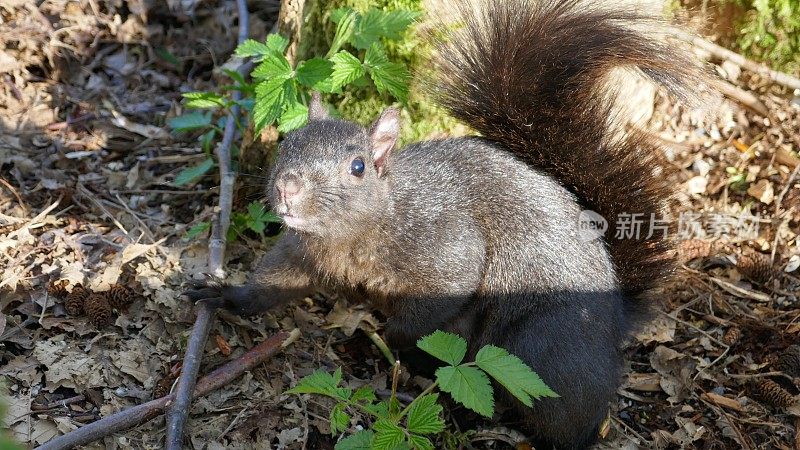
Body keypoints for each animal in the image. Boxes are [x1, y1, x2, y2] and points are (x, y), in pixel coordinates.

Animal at [186, 1, 708, 448]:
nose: (288, 188)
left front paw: (391, 339)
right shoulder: (302, 251)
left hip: (544, 344)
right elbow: (273, 282)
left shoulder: (444, 246)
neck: (350, 234)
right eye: (288, 141)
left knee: (566, 419)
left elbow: (439, 297)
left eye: (357, 167)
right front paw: (223, 293)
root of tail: (617, 311)